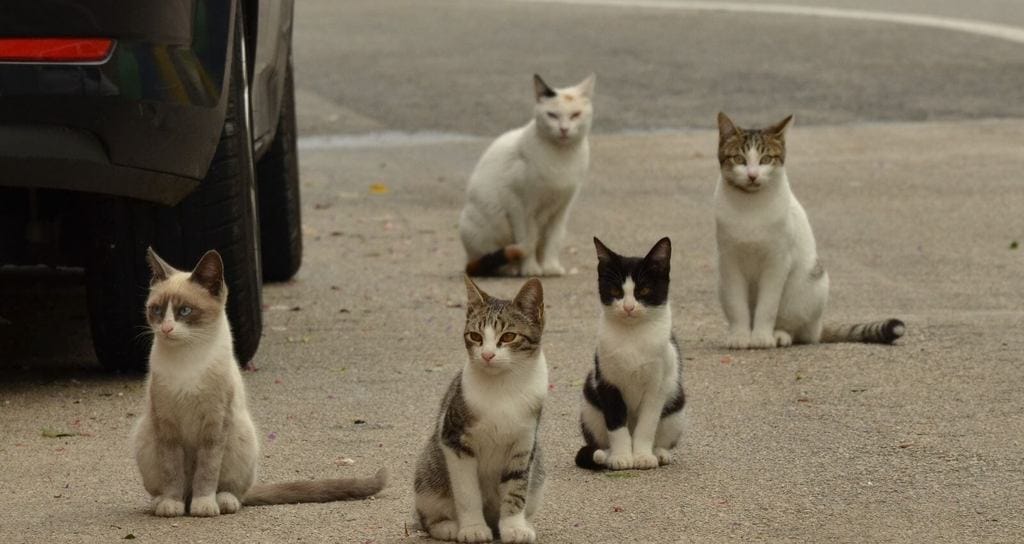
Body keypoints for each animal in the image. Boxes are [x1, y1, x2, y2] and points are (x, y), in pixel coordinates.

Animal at [128, 248, 385, 516]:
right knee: (173, 486)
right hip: (145, 436)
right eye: (157, 310)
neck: (187, 361)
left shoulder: (215, 425)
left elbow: (207, 472)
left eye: (185, 311)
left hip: (241, 435)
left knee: (235, 492)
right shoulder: (167, 426)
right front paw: (172, 504)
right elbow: (172, 472)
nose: (166, 329)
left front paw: (204, 505)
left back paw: (221, 502)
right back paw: (164, 502)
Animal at [413, 278, 548, 540]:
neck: (503, 386)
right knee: (427, 518)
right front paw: (473, 528)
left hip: (538, 472)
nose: (486, 354)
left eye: (509, 336)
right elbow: (467, 493)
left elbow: (516, 488)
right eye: (475, 336)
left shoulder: (524, 444)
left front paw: (514, 527)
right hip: (428, 474)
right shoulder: (455, 440)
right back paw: (447, 526)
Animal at [460, 73, 598, 276]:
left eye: (575, 114)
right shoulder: (519, 205)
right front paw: (531, 268)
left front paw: (550, 266)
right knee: (491, 260)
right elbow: (528, 240)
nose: (564, 129)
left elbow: (553, 239)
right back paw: (511, 268)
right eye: (552, 115)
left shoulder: (562, 208)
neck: (561, 157)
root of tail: (468, 259)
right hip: (479, 225)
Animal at [577, 238, 688, 473]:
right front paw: (621, 456)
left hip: (676, 405)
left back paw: (659, 453)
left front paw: (643, 456)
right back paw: (606, 455)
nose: (628, 307)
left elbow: (647, 425)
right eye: (615, 290)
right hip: (589, 404)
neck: (633, 336)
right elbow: (616, 424)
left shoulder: (657, 386)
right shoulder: (607, 381)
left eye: (644, 290)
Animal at [712, 113, 905, 348]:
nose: (752, 175)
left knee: (800, 331)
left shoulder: (777, 261)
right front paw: (740, 336)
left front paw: (761, 337)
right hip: (722, 284)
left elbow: (767, 306)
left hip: (810, 286)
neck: (750, 206)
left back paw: (780, 335)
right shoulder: (729, 261)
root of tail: (819, 326)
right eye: (739, 159)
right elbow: (737, 305)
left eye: (765, 159)